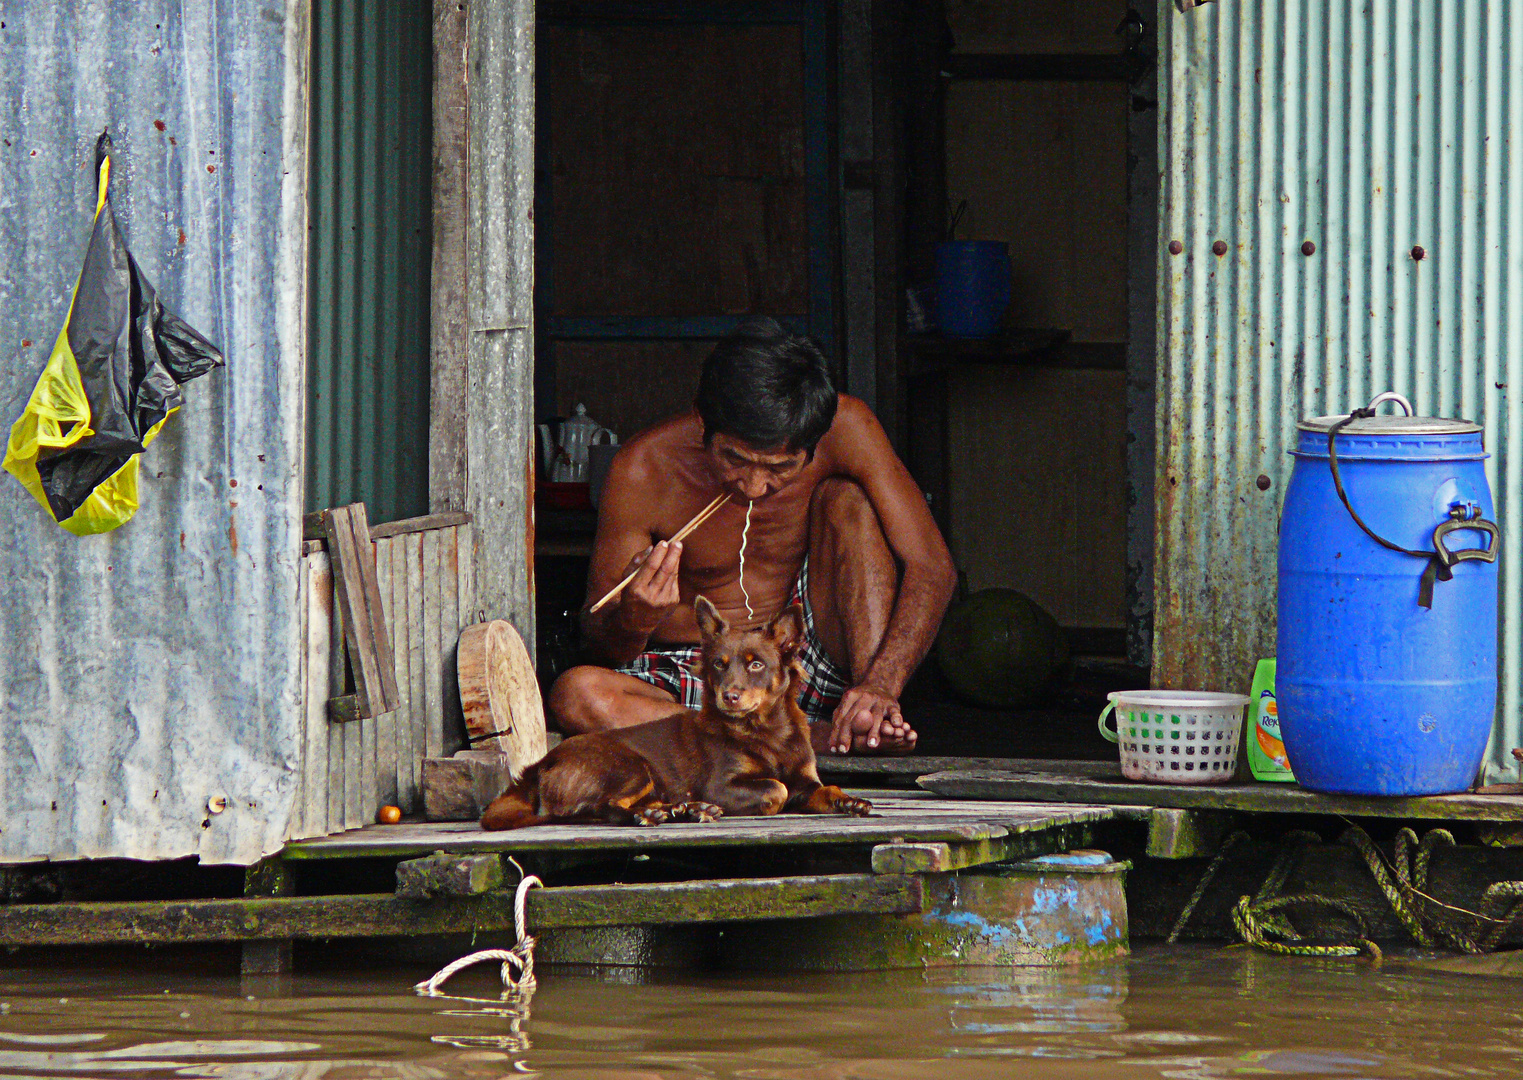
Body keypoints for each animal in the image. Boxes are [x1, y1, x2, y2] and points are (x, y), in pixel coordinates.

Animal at [481, 594, 877, 828]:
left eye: (756, 665)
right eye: (718, 664)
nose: (730, 696)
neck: (766, 729)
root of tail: (539, 766)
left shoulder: (807, 780)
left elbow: (826, 788)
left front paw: (849, 801)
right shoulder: (721, 786)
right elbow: (776, 788)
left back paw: (682, 809)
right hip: (631, 766)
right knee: (593, 809)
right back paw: (655, 814)